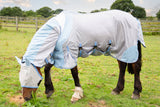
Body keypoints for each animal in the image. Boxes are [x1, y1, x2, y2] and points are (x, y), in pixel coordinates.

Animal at [15, 9, 146, 102]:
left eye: (33, 79)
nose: (26, 98)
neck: (60, 29)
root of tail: (133, 19)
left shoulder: (70, 53)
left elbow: (74, 72)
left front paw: (77, 94)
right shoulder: (59, 53)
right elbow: (47, 68)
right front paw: (49, 90)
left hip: (129, 48)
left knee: (136, 67)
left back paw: (136, 92)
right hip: (120, 49)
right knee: (122, 66)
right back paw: (117, 89)